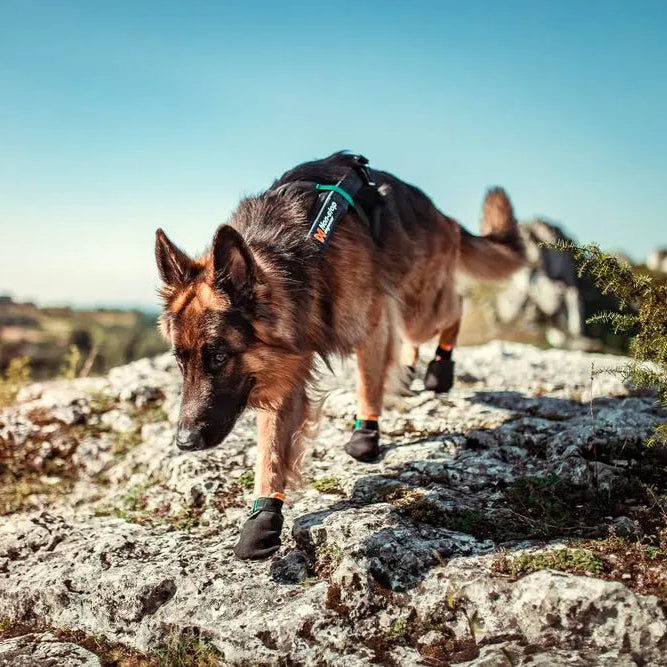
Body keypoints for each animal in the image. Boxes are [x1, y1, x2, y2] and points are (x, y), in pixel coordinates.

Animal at [154, 150, 524, 560]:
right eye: (180, 361)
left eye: (219, 356)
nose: (184, 442)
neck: (297, 261)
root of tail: (442, 215)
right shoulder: (282, 376)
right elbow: (270, 452)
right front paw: (262, 516)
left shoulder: (370, 328)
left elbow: (368, 385)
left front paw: (366, 433)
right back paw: (412, 367)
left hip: (419, 309)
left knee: (455, 306)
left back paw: (440, 368)